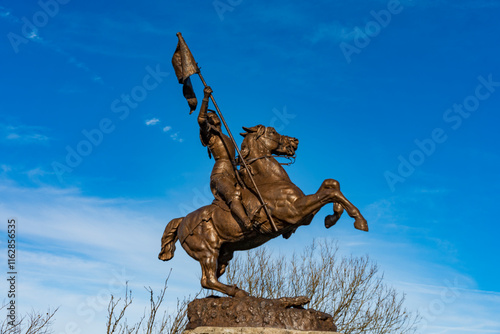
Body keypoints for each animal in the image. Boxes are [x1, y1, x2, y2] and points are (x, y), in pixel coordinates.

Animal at [158, 124, 370, 296]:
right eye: (273, 131)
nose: (295, 141)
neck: (269, 180)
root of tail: (183, 220)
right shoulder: (295, 211)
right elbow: (332, 192)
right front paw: (360, 221)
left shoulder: (304, 214)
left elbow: (331, 184)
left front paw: (331, 218)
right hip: (207, 251)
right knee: (207, 280)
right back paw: (239, 292)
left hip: (224, 254)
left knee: (214, 277)